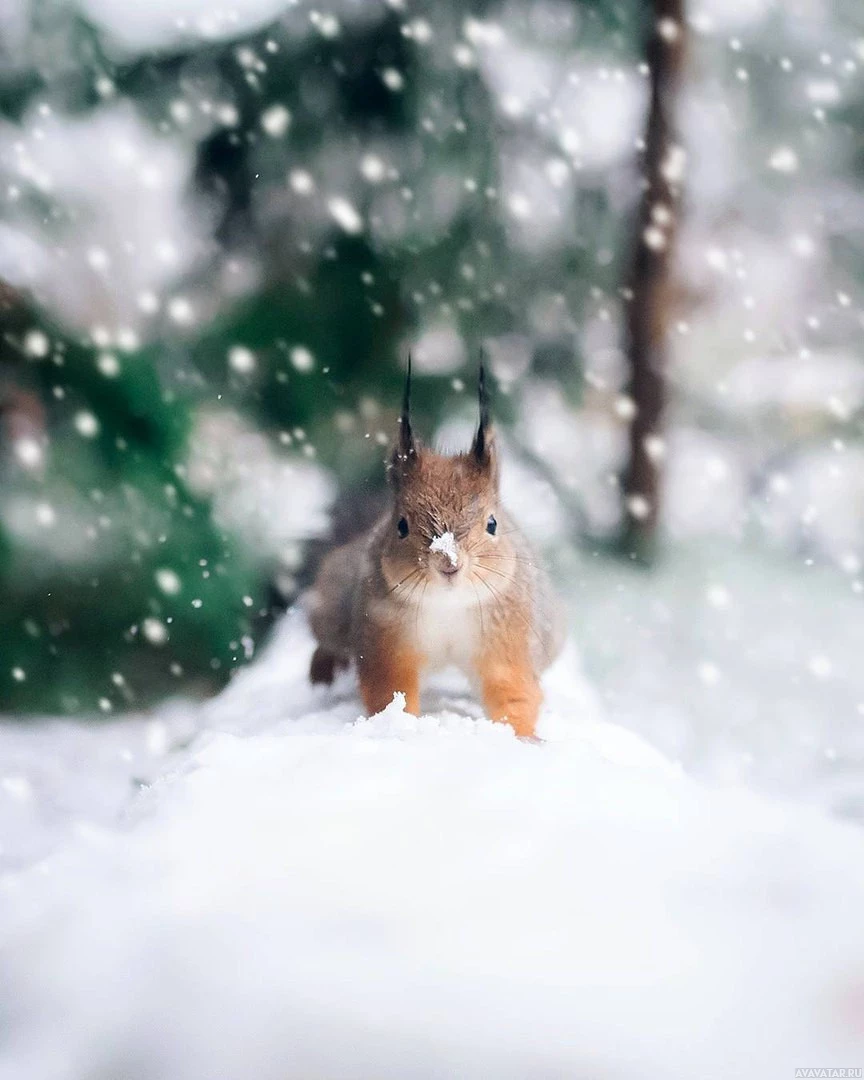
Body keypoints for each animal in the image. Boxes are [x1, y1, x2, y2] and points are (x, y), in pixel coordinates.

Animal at [304, 362, 565, 743]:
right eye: (401, 525)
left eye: (492, 524)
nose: (449, 563)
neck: (448, 604)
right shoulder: (385, 637)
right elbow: (390, 689)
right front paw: (402, 727)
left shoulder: (508, 642)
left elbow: (513, 692)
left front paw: (523, 737)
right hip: (336, 603)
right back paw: (322, 668)